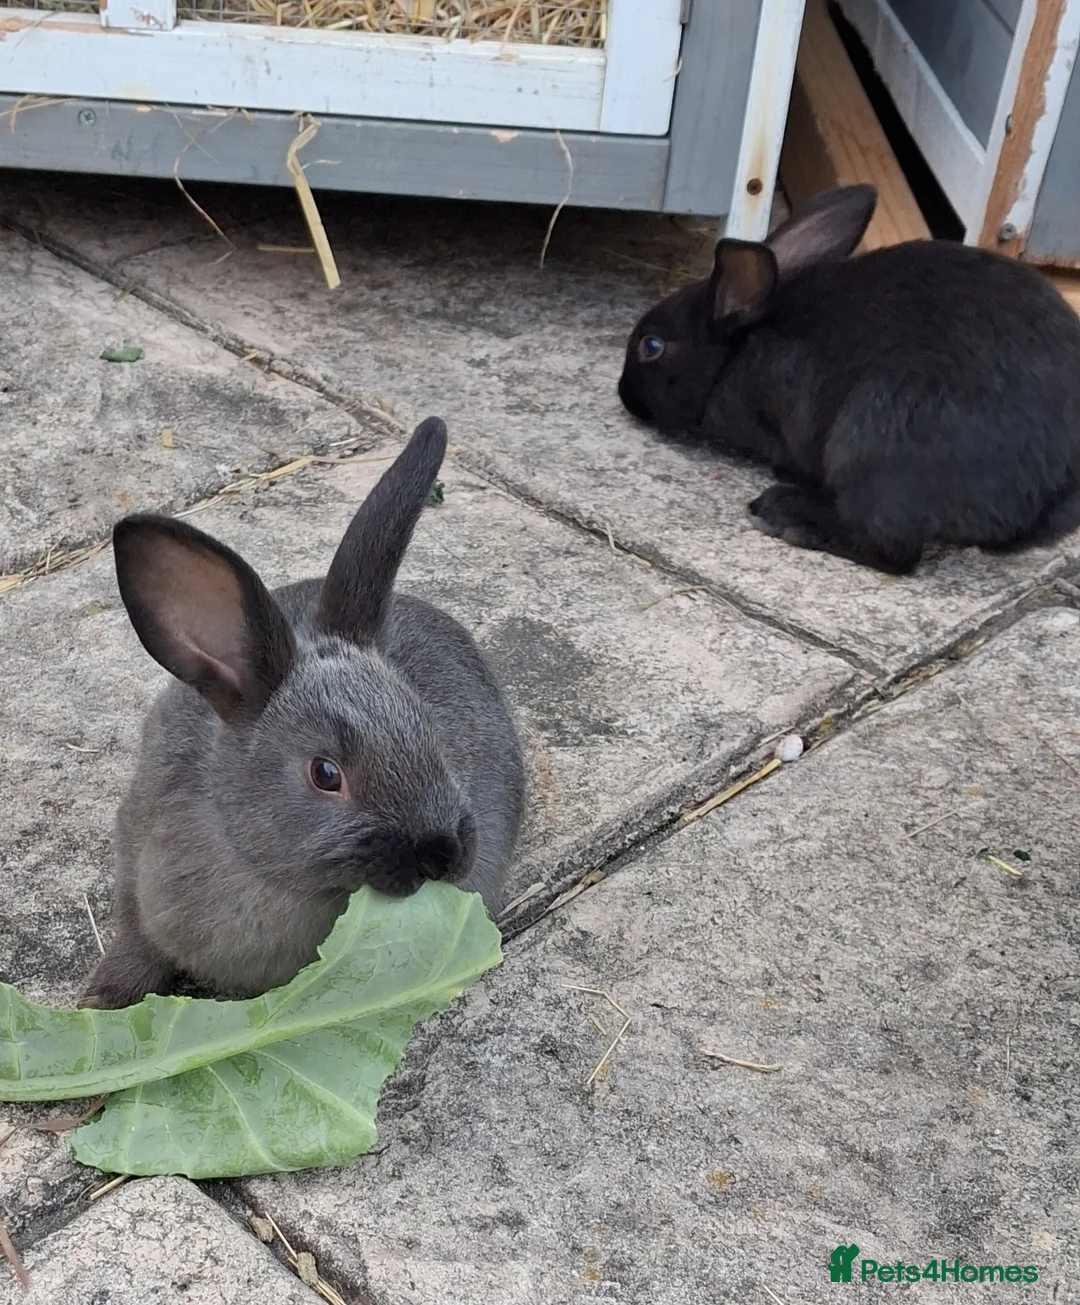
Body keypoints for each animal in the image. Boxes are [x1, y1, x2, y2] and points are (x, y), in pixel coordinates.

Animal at [80, 417, 525, 1009]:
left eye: (429, 729)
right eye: (325, 773)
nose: (444, 855)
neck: (257, 861)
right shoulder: (134, 863)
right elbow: (136, 943)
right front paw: (102, 1000)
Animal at [617, 183, 1080, 575]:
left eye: (652, 346)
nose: (624, 394)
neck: (738, 353)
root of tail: (1048, 489)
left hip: (877, 437)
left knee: (890, 548)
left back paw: (786, 514)